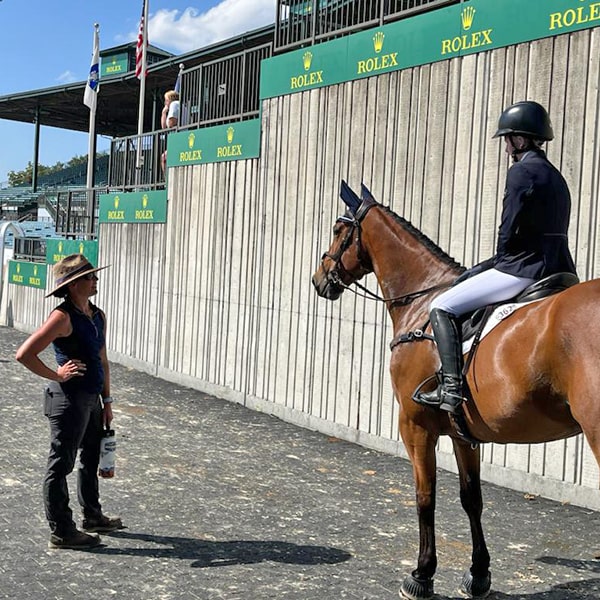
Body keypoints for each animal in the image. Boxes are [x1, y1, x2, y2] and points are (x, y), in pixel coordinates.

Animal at [310, 180, 600, 596]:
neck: (422, 303)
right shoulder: (465, 433)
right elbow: (471, 498)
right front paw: (478, 575)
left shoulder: (414, 425)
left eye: (338, 229)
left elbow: (425, 497)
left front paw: (421, 575)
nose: (319, 280)